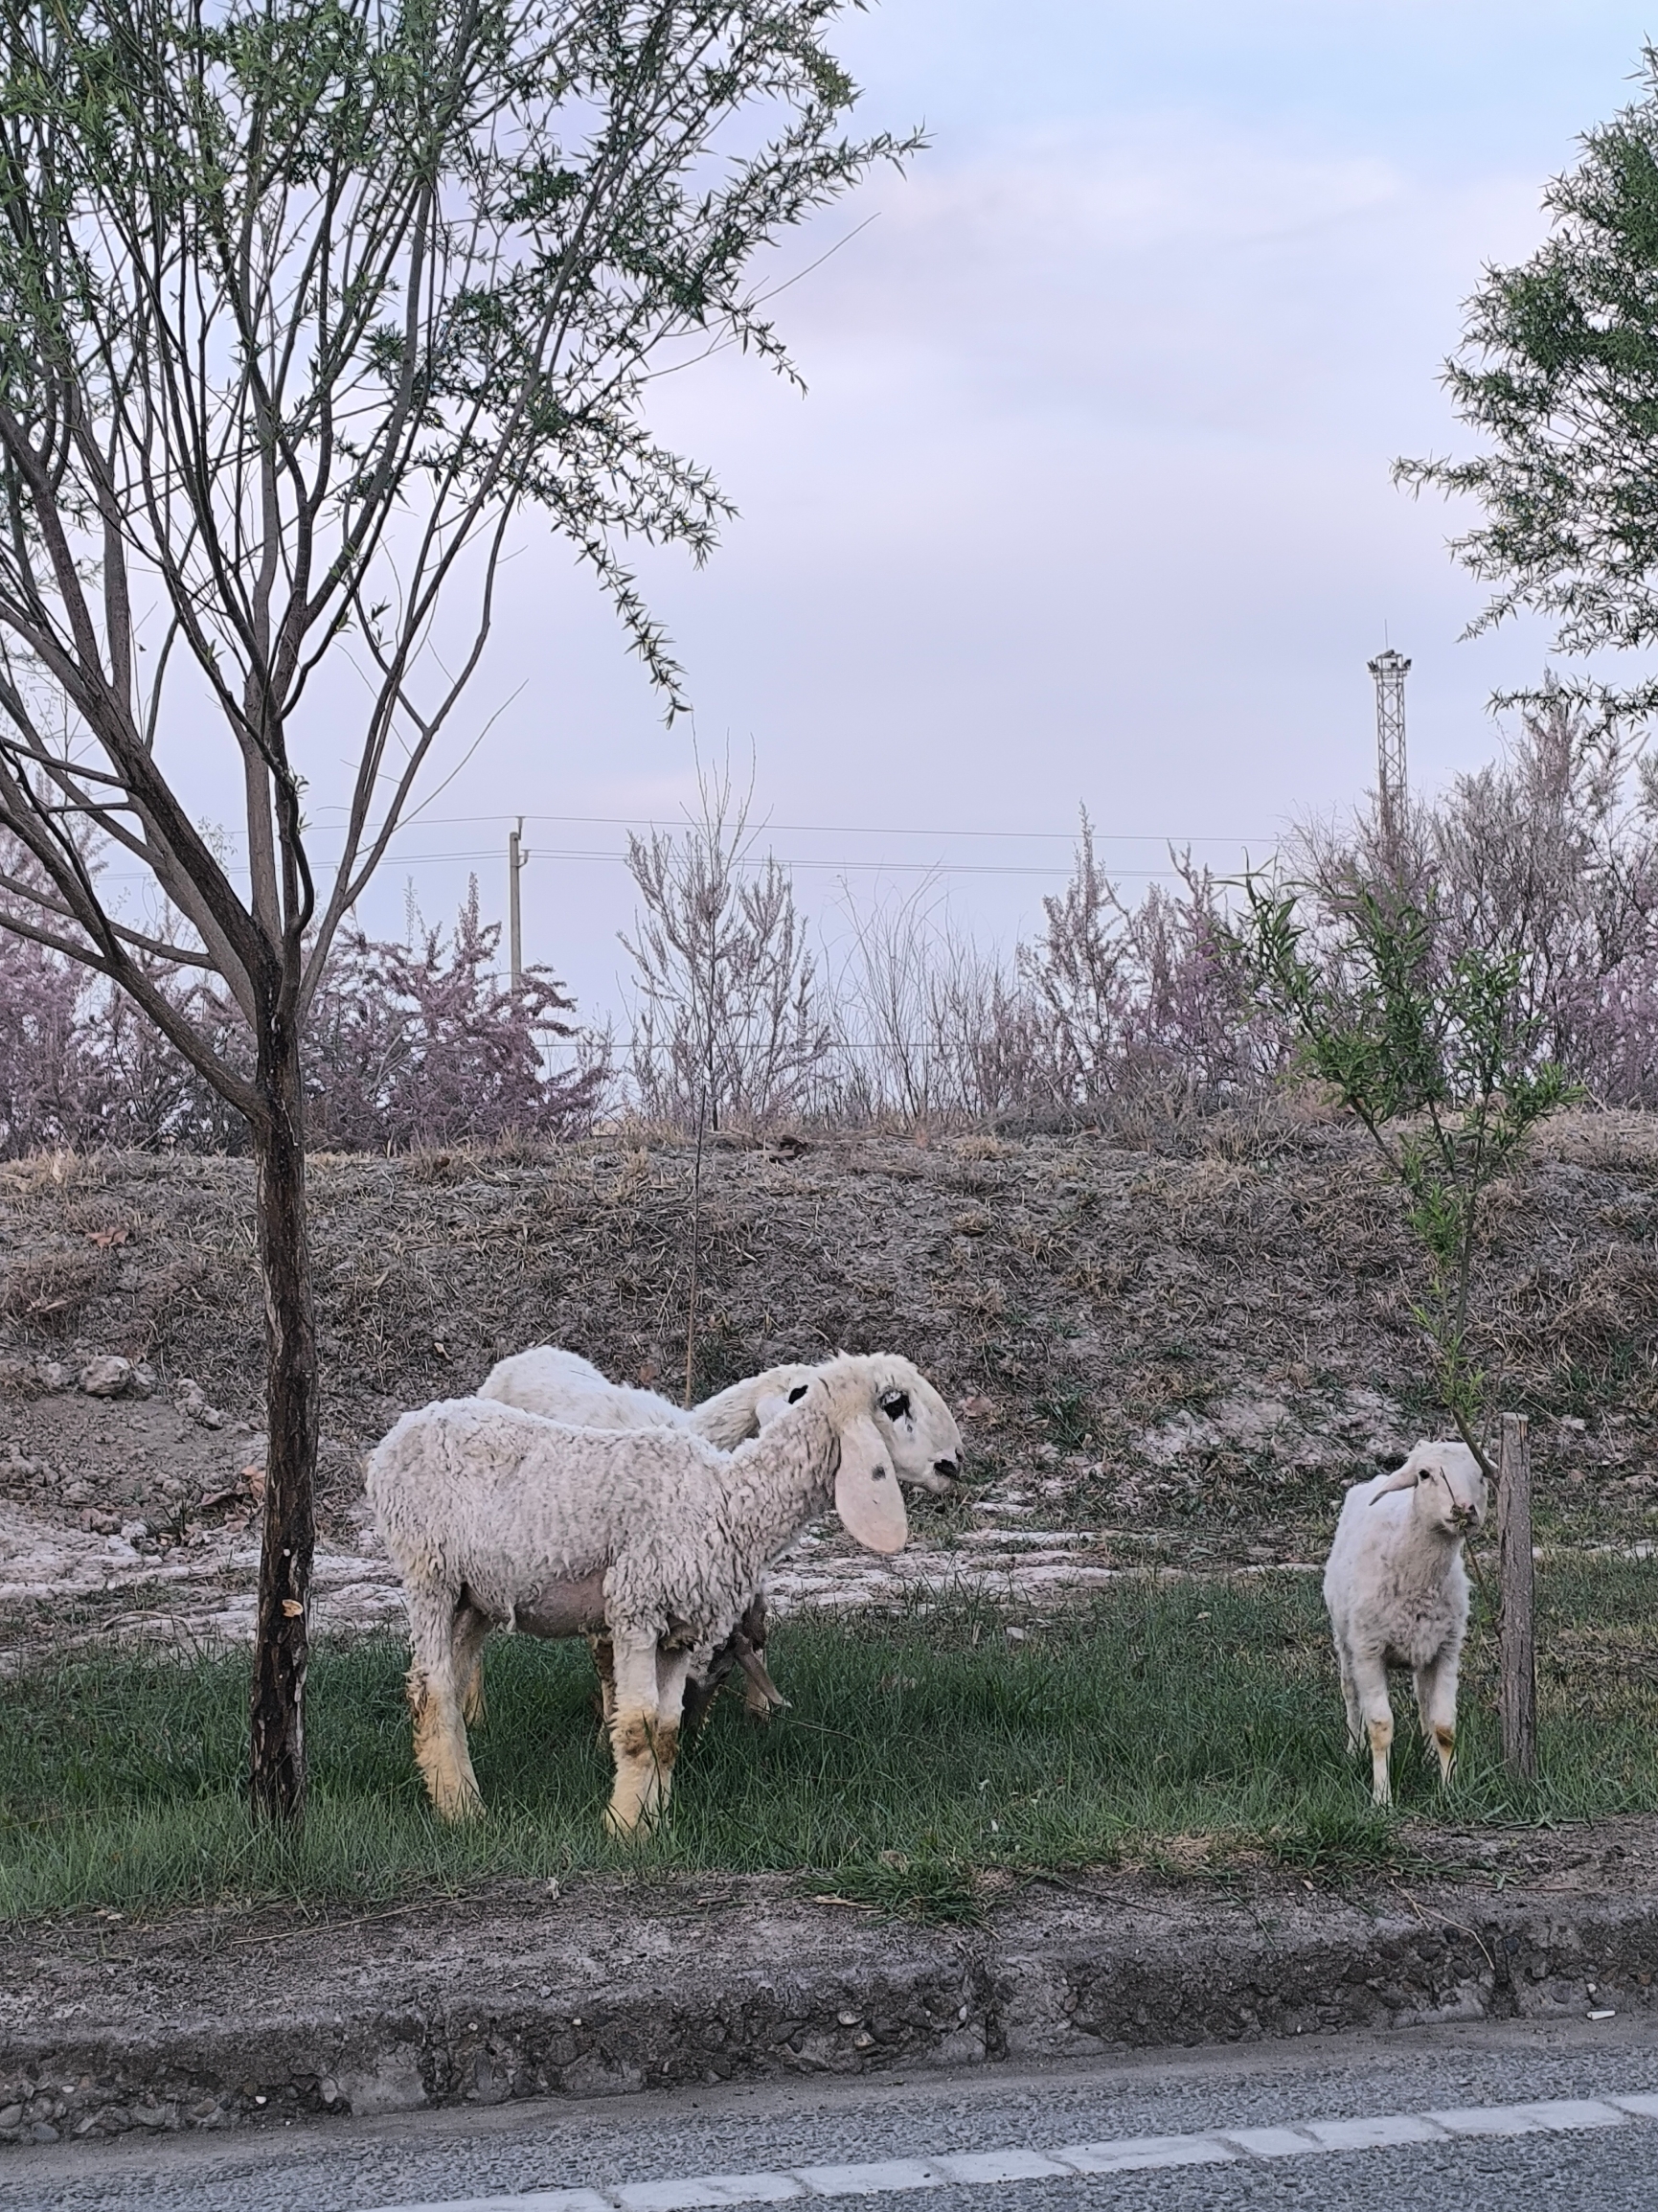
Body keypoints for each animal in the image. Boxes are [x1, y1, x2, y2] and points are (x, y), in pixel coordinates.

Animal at [362, 1344, 959, 1831]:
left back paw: (451, 1782)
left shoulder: (680, 1628)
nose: (954, 1464)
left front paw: (651, 1820)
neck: (729, 1499)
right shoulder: (636, 1609)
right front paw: (625, 1830)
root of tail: (400, 1432)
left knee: (451, 1675)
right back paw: (462, 1809)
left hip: (475, 1594)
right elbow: (637, 1725)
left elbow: (665, 1733)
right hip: (428, 1572)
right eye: (895, 1403)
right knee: (432, 1688)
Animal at [1326, 1433, 1494, 1813]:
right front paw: (1382, 1799)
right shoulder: (1369, 1651)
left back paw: (1429, 1756)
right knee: (1350, 1693)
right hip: (1345, 1639)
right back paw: (1353, 1749)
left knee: (1423, 1699)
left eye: (1480, 1474)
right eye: (1424, 1474)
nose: (1464, 1509)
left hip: (1423, 1648)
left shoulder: (1447, 1649)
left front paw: (1449, 1791)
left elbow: (1444, 1724)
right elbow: (1380, 1726)